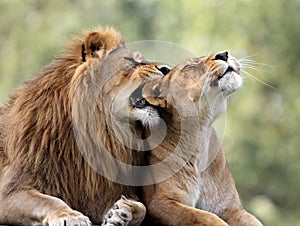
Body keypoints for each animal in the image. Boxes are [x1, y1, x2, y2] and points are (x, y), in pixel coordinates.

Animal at [0, 27, 171, 225]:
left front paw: (123, 212)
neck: (99, 130)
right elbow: (48, 201)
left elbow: (142, 208)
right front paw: (70, 216)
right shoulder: (11, 189)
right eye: (130, 60)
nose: (167, 70)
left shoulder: (102, 192)